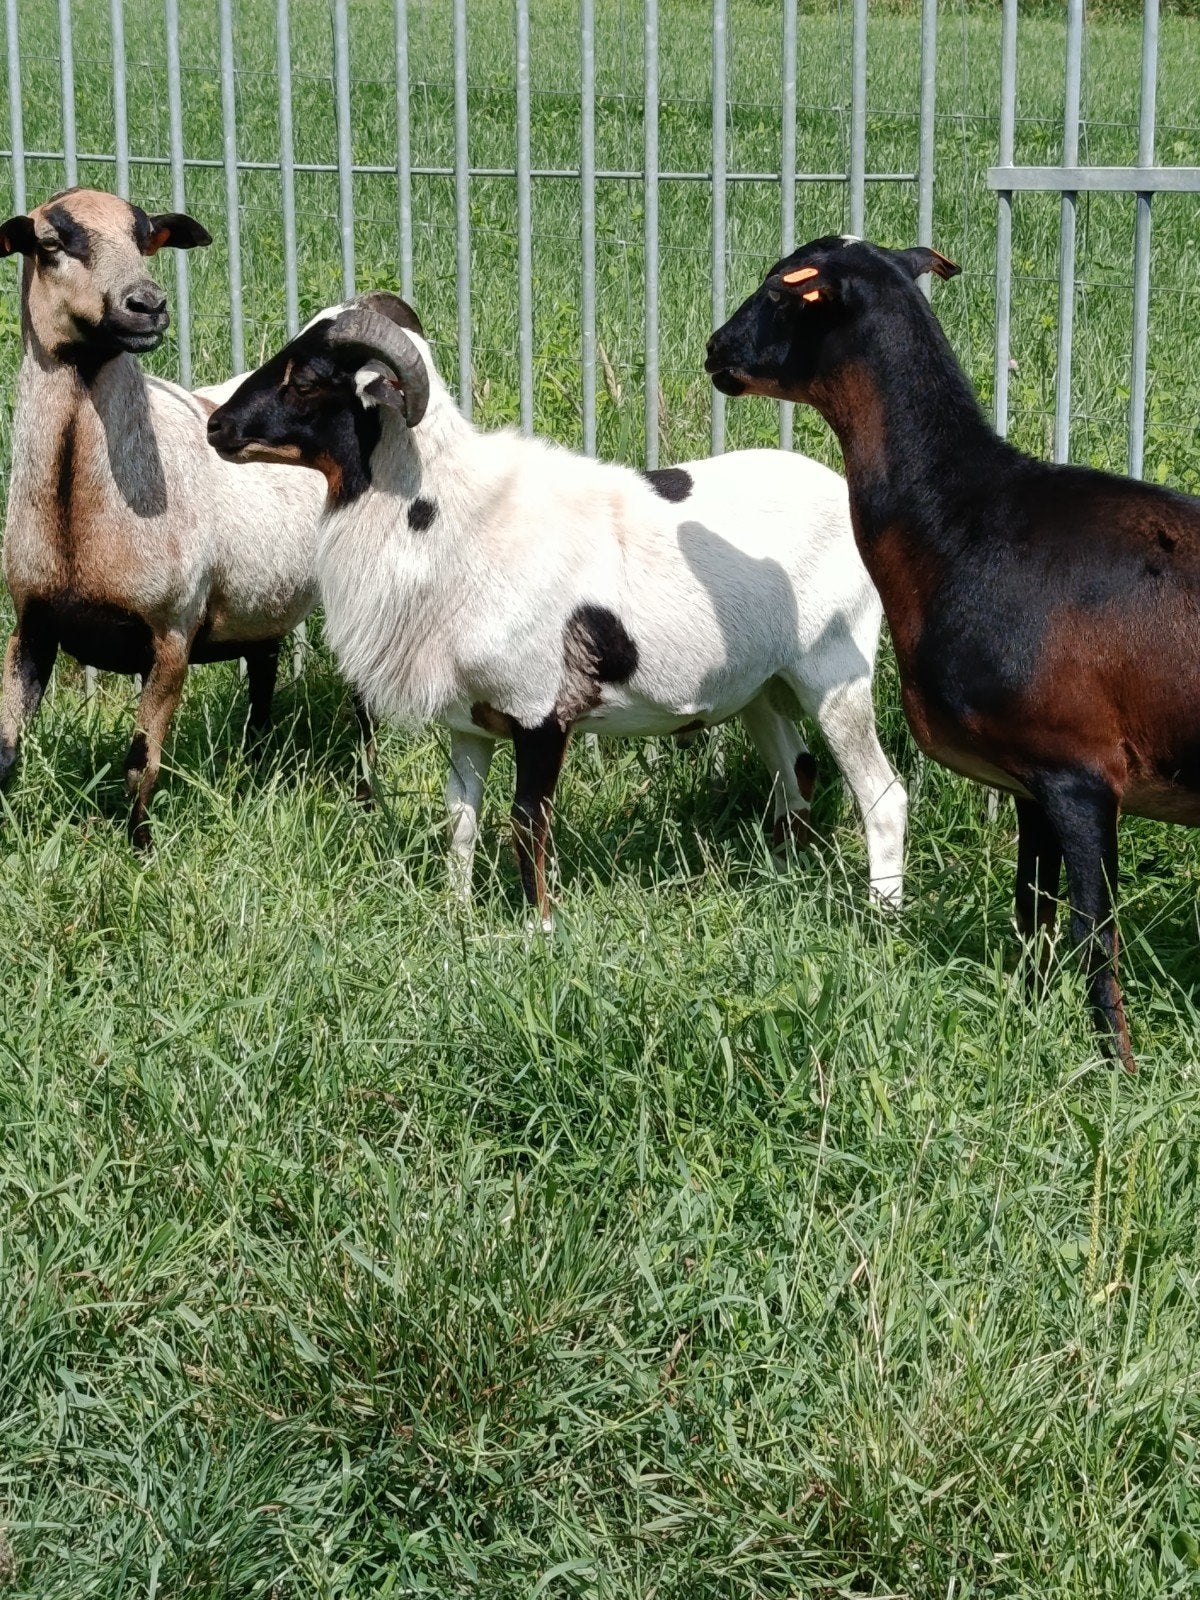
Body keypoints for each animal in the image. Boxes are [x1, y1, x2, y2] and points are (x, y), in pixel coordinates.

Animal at [0, 186, 328, 848]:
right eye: (50, 243)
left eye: (146, 237)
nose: (148, 306)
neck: (77, 518)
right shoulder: (31, 623)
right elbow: (4, 752)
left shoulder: (171, 632)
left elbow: (140, 763)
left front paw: (142, 851)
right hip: (257, 606)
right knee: (263, 676)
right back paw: (253, 765)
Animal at [205, 290, 907, 922]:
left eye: (307, 380)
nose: (215, 428)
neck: (451, 517)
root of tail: (840, 491)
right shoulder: (470, 720)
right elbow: (461, 819)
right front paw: (455, 920)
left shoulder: (540, 710)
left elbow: (526, 822)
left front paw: (540, 927)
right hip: (759, 686)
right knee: (797, 777)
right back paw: (784, 880)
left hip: (835, 673)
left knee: (883, 795)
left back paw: (883, 919)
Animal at [705, 232, 1200, 1071]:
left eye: (779, 292)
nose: (713, 351)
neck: (959, 519)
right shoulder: (1030, 778)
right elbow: (1031, 914)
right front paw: (1030, 1022)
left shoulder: (1081, 772)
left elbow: (1093, 935)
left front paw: (1115, 1069)